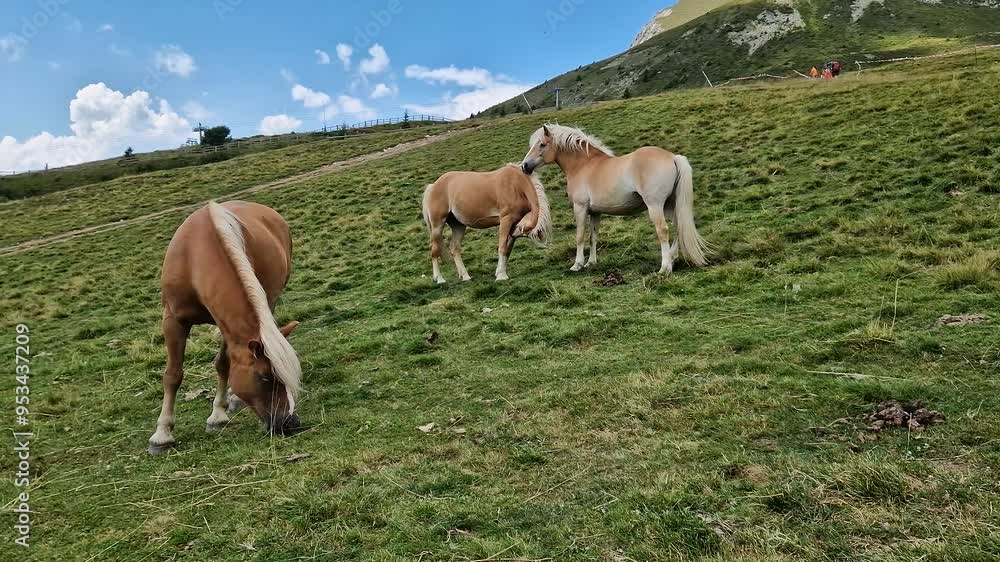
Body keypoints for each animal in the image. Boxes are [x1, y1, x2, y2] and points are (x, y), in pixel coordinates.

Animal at [148, 201, 302, 455]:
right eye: (264, 377)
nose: (290, 423)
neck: (195, 257)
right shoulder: (173, 320)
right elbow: (173, 375)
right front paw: (162, 434)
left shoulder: (228, 325)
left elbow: (223, 364)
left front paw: (217, 415)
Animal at [421, 164, 551, 283]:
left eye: (519, 229)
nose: (512, 233)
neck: (517, 185)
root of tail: (433, 186)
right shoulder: (506, 220)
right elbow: (502, 246)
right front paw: (501, 276)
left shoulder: (512, 222)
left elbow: (508, 249)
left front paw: (500, 272)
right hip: (437, 225)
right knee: (434, 249)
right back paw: (439, 279)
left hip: (458, 226)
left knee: (454, 247)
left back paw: (465, 276)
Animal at [520, 124, 709, 275]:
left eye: (542, 144)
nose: (524, 166)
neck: (583, 165)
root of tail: (672, 157)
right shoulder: (595, 212)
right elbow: (593, 237)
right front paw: (591, 263)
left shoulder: (580, 207)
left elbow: (580, 236)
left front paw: (577, 264)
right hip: (671, 205)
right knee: (678, 227)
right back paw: (673, 258)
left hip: (655, 206)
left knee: (663, 230)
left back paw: (665, 267)